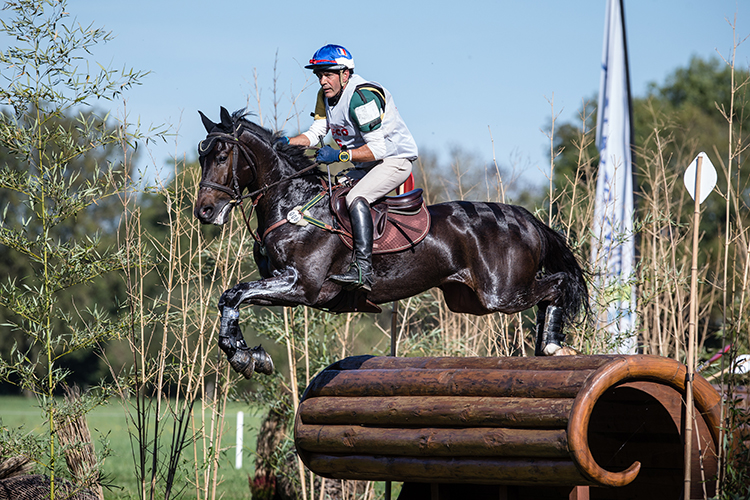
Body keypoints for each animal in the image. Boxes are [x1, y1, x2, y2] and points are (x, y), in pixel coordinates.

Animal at [195, 107, 592, 376]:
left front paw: (243, 356)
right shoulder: (284, 285)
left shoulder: (303, 287)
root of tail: (526, 218)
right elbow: (231, 297)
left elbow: (234, 294)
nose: (205, 211)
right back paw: (548, 347)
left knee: (557, 284)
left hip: (503, 293)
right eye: (201, 158)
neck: (294, 203)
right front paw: (246, 354)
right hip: (473, 300)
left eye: (222, 156)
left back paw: (553, 345)